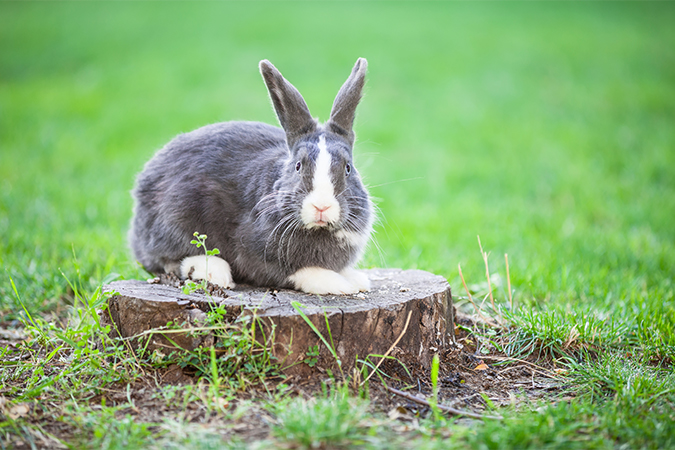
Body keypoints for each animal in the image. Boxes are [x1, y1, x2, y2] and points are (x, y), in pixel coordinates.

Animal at [128, 57, 374, 296]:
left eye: (348, 168)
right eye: (298, 166)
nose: (322, 207)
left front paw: (357, 279)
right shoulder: (257, 255)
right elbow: (297, 272)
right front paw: (338, 284)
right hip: (174, 217)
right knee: (168, 259)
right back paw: (213, 272)